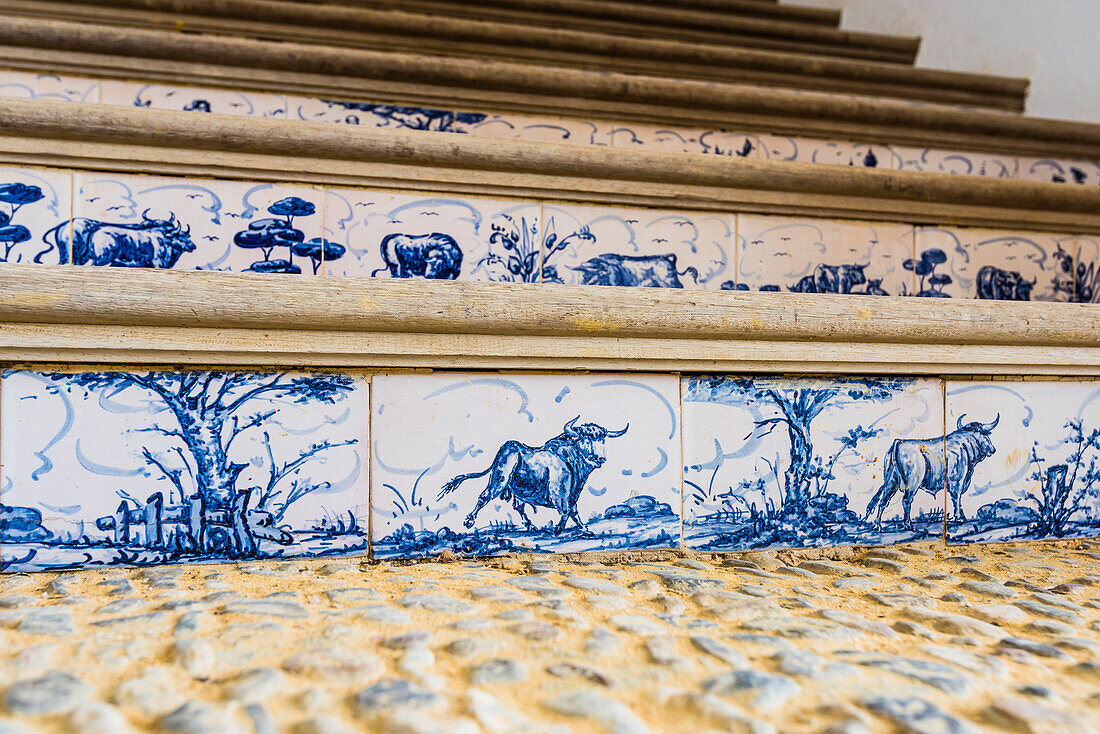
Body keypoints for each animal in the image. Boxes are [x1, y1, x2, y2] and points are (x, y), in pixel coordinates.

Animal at [435, 418, 629, 534]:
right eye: (585, 439)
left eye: (602, 440)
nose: (600, 458)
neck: (570, 459)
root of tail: (509, 446)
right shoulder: (561, 492)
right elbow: (565, 510)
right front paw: (557, 529)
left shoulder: (574, 492)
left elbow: (573, 510)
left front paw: (584, 529)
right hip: (500, 479)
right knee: (485, 496)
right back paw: (469, 521)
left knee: (518, 506)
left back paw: (531, 526)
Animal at [862, 413, 1003, 528]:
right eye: (985, 434)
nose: (993, 449)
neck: (965, 445)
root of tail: (899, 442)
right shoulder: (957, 480)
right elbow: (957, 497)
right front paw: (959, 518)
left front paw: (962, 516)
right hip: (912, 483)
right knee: (906, 500)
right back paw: (908, 525)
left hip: (891, 481)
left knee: (883, 501)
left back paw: (877, 525)